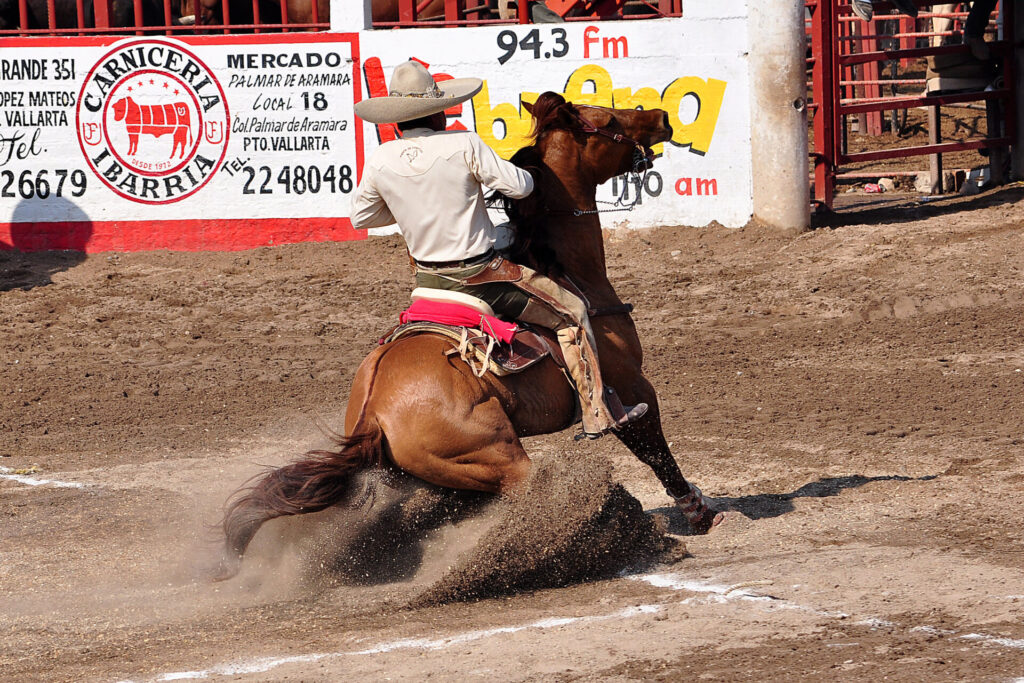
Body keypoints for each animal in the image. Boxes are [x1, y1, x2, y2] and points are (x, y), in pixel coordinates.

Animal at [215, 90, 724, 581]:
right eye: (609, 121)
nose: (661, 117)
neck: (566, 265)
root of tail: (374, 414)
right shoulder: (631, 386)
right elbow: (655, 451)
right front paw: (698, 511)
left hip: (440, 475)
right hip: (498, 457)